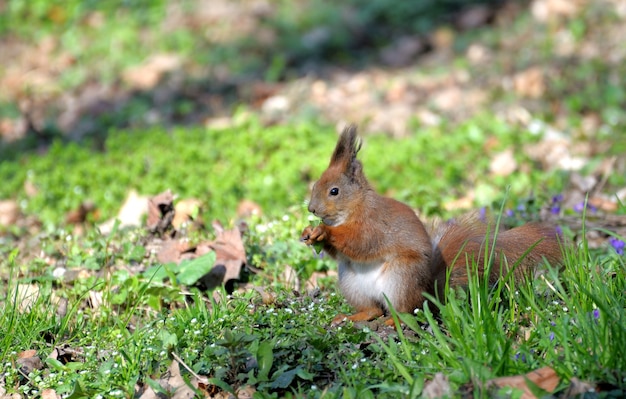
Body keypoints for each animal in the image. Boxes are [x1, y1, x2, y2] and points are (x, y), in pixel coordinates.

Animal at [298, 126, 560, 328]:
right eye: (315, 184)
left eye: (334, 191)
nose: (312, 209)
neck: (354, 207)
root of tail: (425, 290)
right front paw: (309, 233)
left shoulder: (373, 223)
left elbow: (360, 241)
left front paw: (324, 231)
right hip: (352, 283)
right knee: (374, 309)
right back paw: (352, 316)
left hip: (401, 277)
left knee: (406, 311)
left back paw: (394, 321)